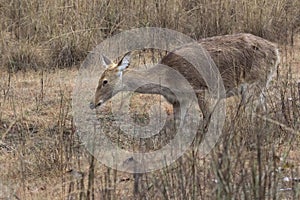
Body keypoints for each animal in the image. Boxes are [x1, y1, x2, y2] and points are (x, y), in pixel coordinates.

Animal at [90, 33, 280, 130]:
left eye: (105, 81)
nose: (93, 103)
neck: (167, 81)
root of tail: (276, 51)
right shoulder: (180, 100)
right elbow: (177, 124)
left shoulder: (200, 90)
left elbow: (208, 118)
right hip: (261, 85)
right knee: (263, 109)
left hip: (253, 83)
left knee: (248, 113)